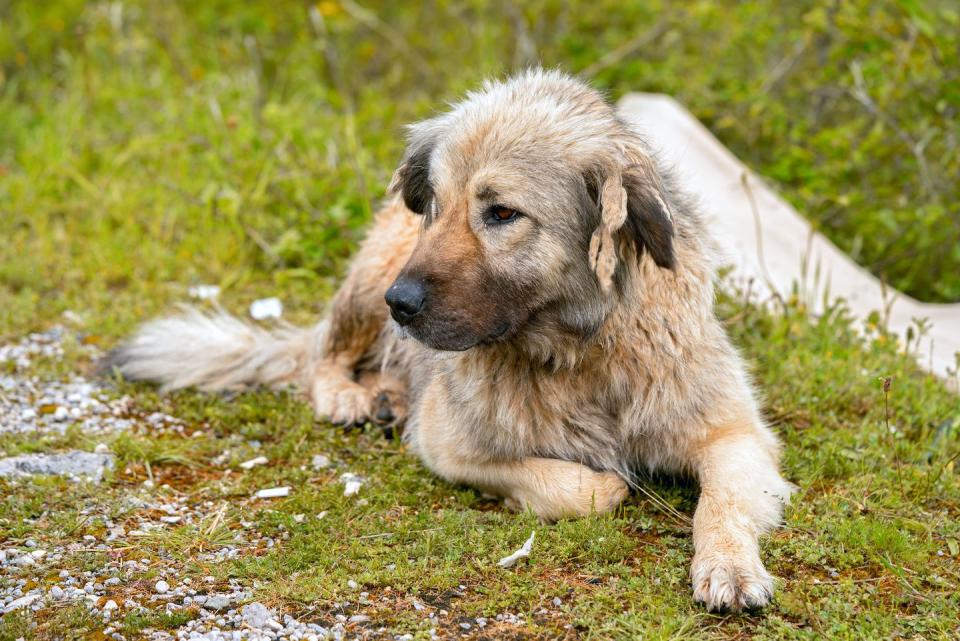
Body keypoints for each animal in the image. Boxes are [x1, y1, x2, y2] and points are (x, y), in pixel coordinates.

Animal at [107, 69, 796, 608]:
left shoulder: (733, 436)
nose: (401, 305)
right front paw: (604, 482)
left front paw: (729, 565)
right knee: (323, 355)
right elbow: (589, 487)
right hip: (372, 274)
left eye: (502, 213)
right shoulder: (448, 446)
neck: (580, 352)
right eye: (435, 205)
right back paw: (350, 395)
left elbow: (721, 505)